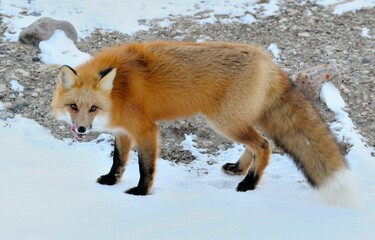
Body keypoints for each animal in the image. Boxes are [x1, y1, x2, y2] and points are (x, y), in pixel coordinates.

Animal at [52, 40, 358, 204]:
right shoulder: (124, 131)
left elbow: (145, 167)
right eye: (73, 107)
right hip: (235, 121)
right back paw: (239, 169)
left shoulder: (146, 129)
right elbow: (118, 161)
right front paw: (110, 181)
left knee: (264, 145)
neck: (119, 90)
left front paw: (141, 192)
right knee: (256, 144)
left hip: (224, 122)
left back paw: (249, 183)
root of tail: (267, 60)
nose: (81, 129)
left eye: (93, 108)